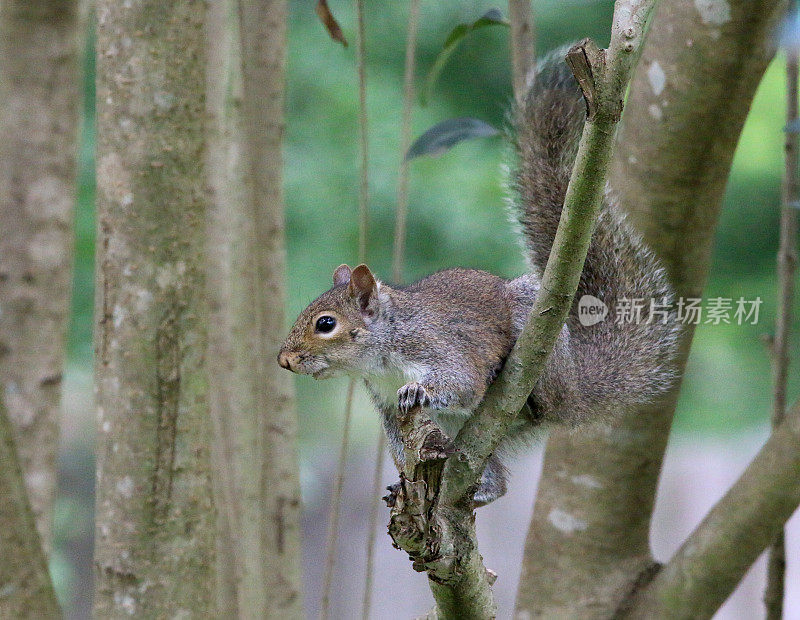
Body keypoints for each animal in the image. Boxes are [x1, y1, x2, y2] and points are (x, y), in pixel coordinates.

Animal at [278, 47, 680, 504]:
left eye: (326, 324)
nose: (285, 360)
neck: (383, 352)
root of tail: (579, 391)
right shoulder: (386, 407)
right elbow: (400, 442)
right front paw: (401, 481)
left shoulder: (441, 347)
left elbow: (463, 382)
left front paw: (419, 390)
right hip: (461, 431)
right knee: (495, 476)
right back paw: (479, 491)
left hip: (538, 344)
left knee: (543, 403)